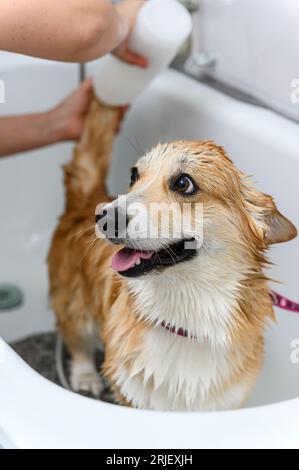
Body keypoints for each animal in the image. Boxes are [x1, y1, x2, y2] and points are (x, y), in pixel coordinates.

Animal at [48, 100, 296, 412]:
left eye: (183, 183)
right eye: (134, 175)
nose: (104, 217)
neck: (185, 320)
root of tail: (87, 200)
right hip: (75, 303)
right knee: (77, 340)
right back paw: (85, 376)